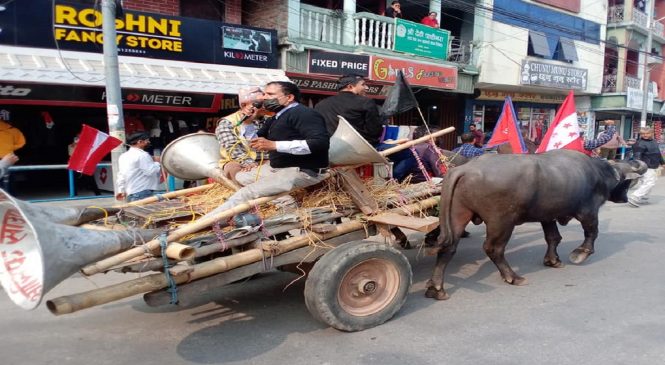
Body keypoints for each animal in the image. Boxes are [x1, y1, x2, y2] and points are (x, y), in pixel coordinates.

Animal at [426, 149, 644, 300]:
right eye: (627, 182)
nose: (625, 197)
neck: (598, 174)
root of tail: (464, 169)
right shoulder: (588, 211)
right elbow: (592, 233)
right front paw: (580, 254)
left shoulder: (547, 217)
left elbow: (553, 237)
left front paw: (553, 260)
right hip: (502, 222)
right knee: (493, 248)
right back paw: (513, 277)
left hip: (458, 215)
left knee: (448, 247)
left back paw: (436, 289)